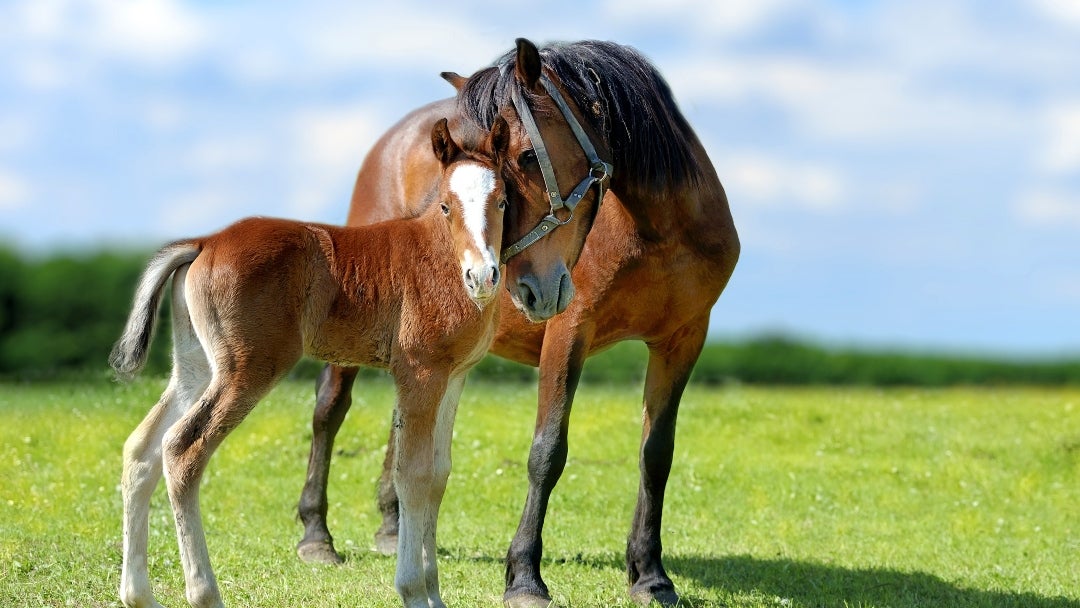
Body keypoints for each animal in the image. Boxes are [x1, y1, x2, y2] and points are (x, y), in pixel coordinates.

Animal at [300, 40, 747, 604]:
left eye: (525, 156)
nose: (514, 283)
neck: (658, 232)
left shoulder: (683, 340)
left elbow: (656, 455)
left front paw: (650, 575)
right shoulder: (568, 331)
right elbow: (547, 452)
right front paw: (524, 576)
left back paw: (391, 528)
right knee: (329, 408)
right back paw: (316, 536)